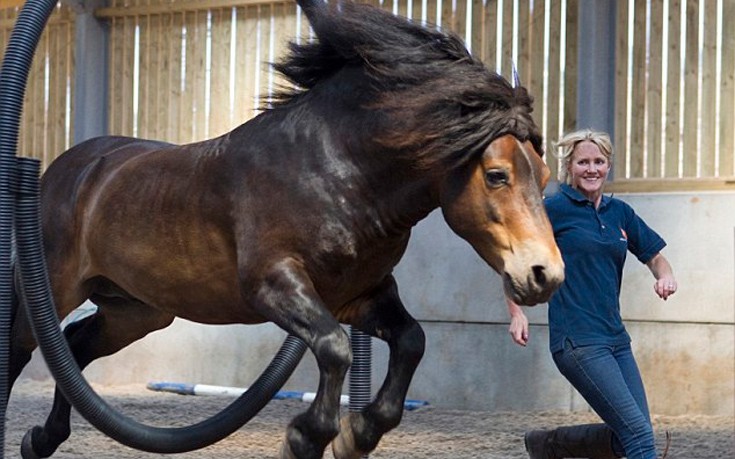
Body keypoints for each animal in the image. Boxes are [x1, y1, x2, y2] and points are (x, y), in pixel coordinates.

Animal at [8, 0, 564, 459]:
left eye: (544, 176)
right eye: (497, 175)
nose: (545, 275)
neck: (335, 169)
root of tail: (73, 166)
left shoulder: (360, 295)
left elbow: (411, 341)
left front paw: (358, 434)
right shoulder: (274, 284)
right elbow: (336, 347)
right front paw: (307, 436)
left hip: (136, 310)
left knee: (75, 344)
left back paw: (43, 439)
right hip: (54, 289)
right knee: (23, 348)